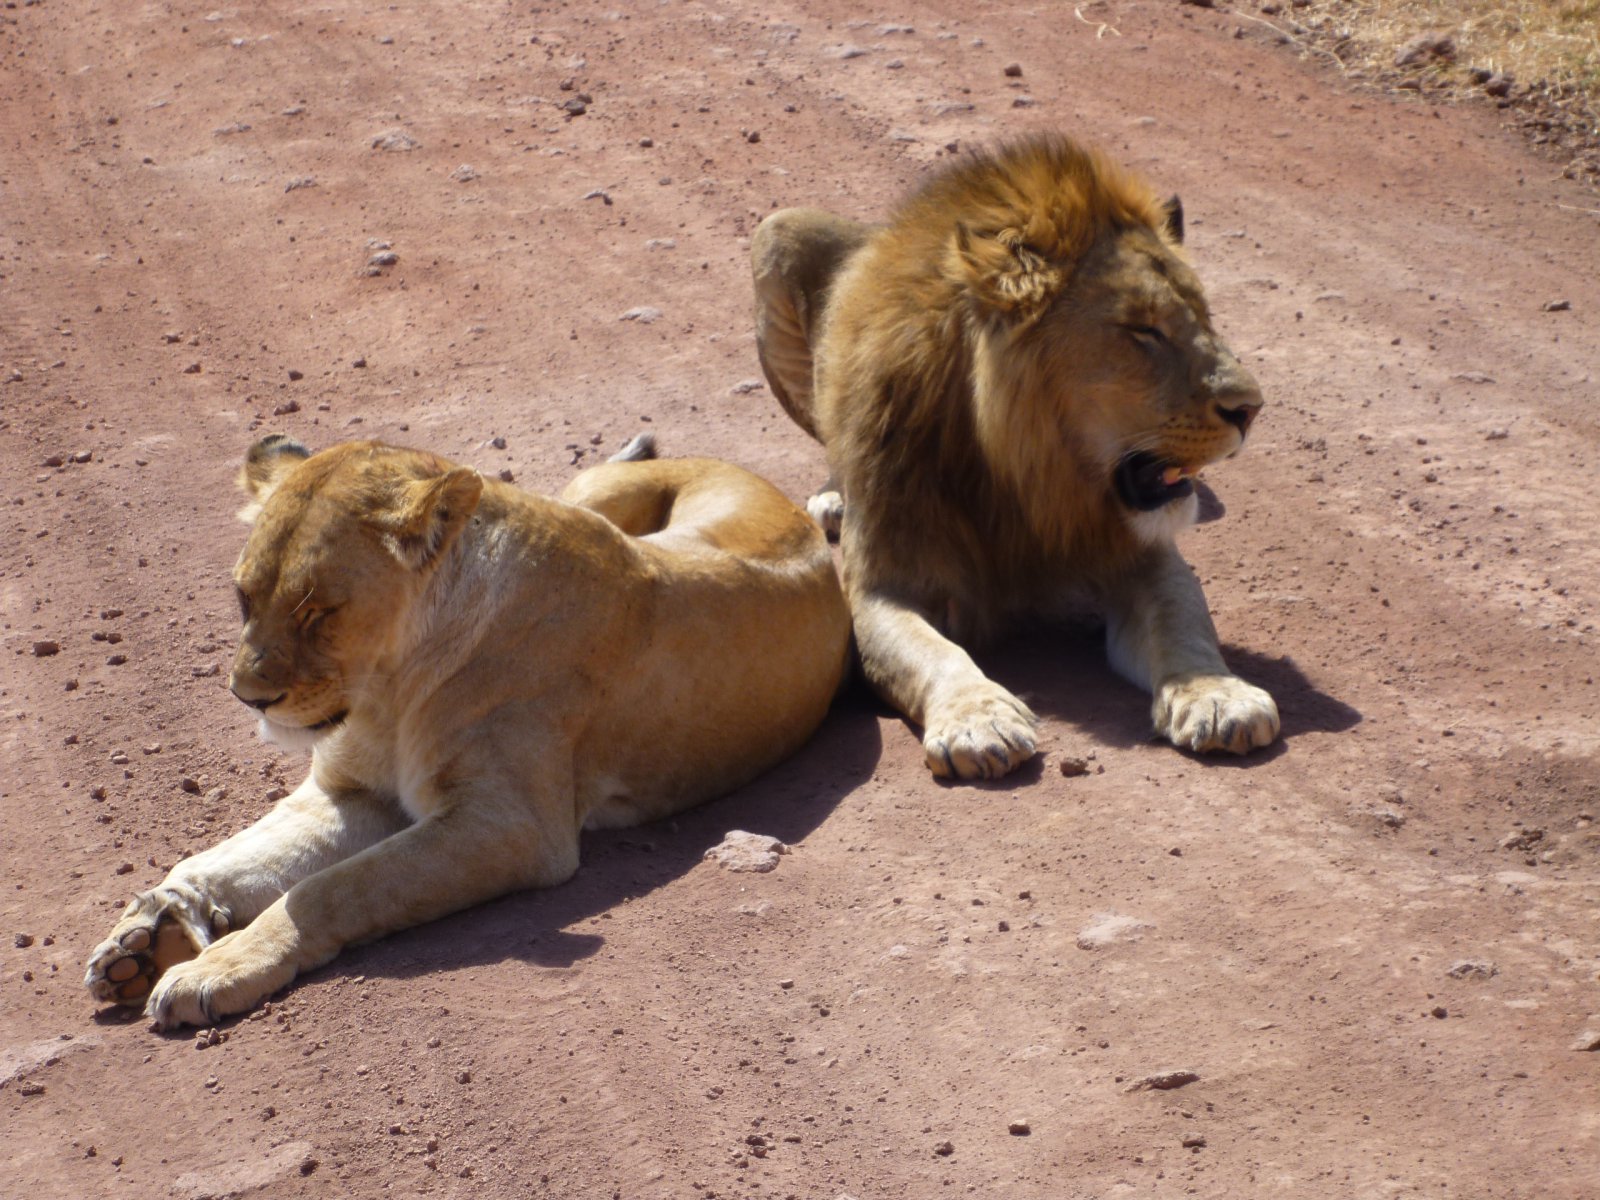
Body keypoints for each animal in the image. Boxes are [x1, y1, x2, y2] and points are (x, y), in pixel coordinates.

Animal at [84, 438, 851, 1030]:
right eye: (243, 597)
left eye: (318, 611)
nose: (249, 697)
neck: (388, 690)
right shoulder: (352, 794)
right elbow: (227, 858)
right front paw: (144, 938)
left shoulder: (512, 826)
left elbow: (331, 889)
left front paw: (214, 968)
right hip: (586, 491)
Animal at [755, 136, 1280, 784]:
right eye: (1143, 330)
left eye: (1205, 317)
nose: (1252, 408)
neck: (1028, 481)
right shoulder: (879, 587)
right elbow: (934, 652)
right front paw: (979, 721)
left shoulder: (1141, 554)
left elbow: (1184, 620)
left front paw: (1217, 695)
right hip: (777, 231)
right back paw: (833, 496)